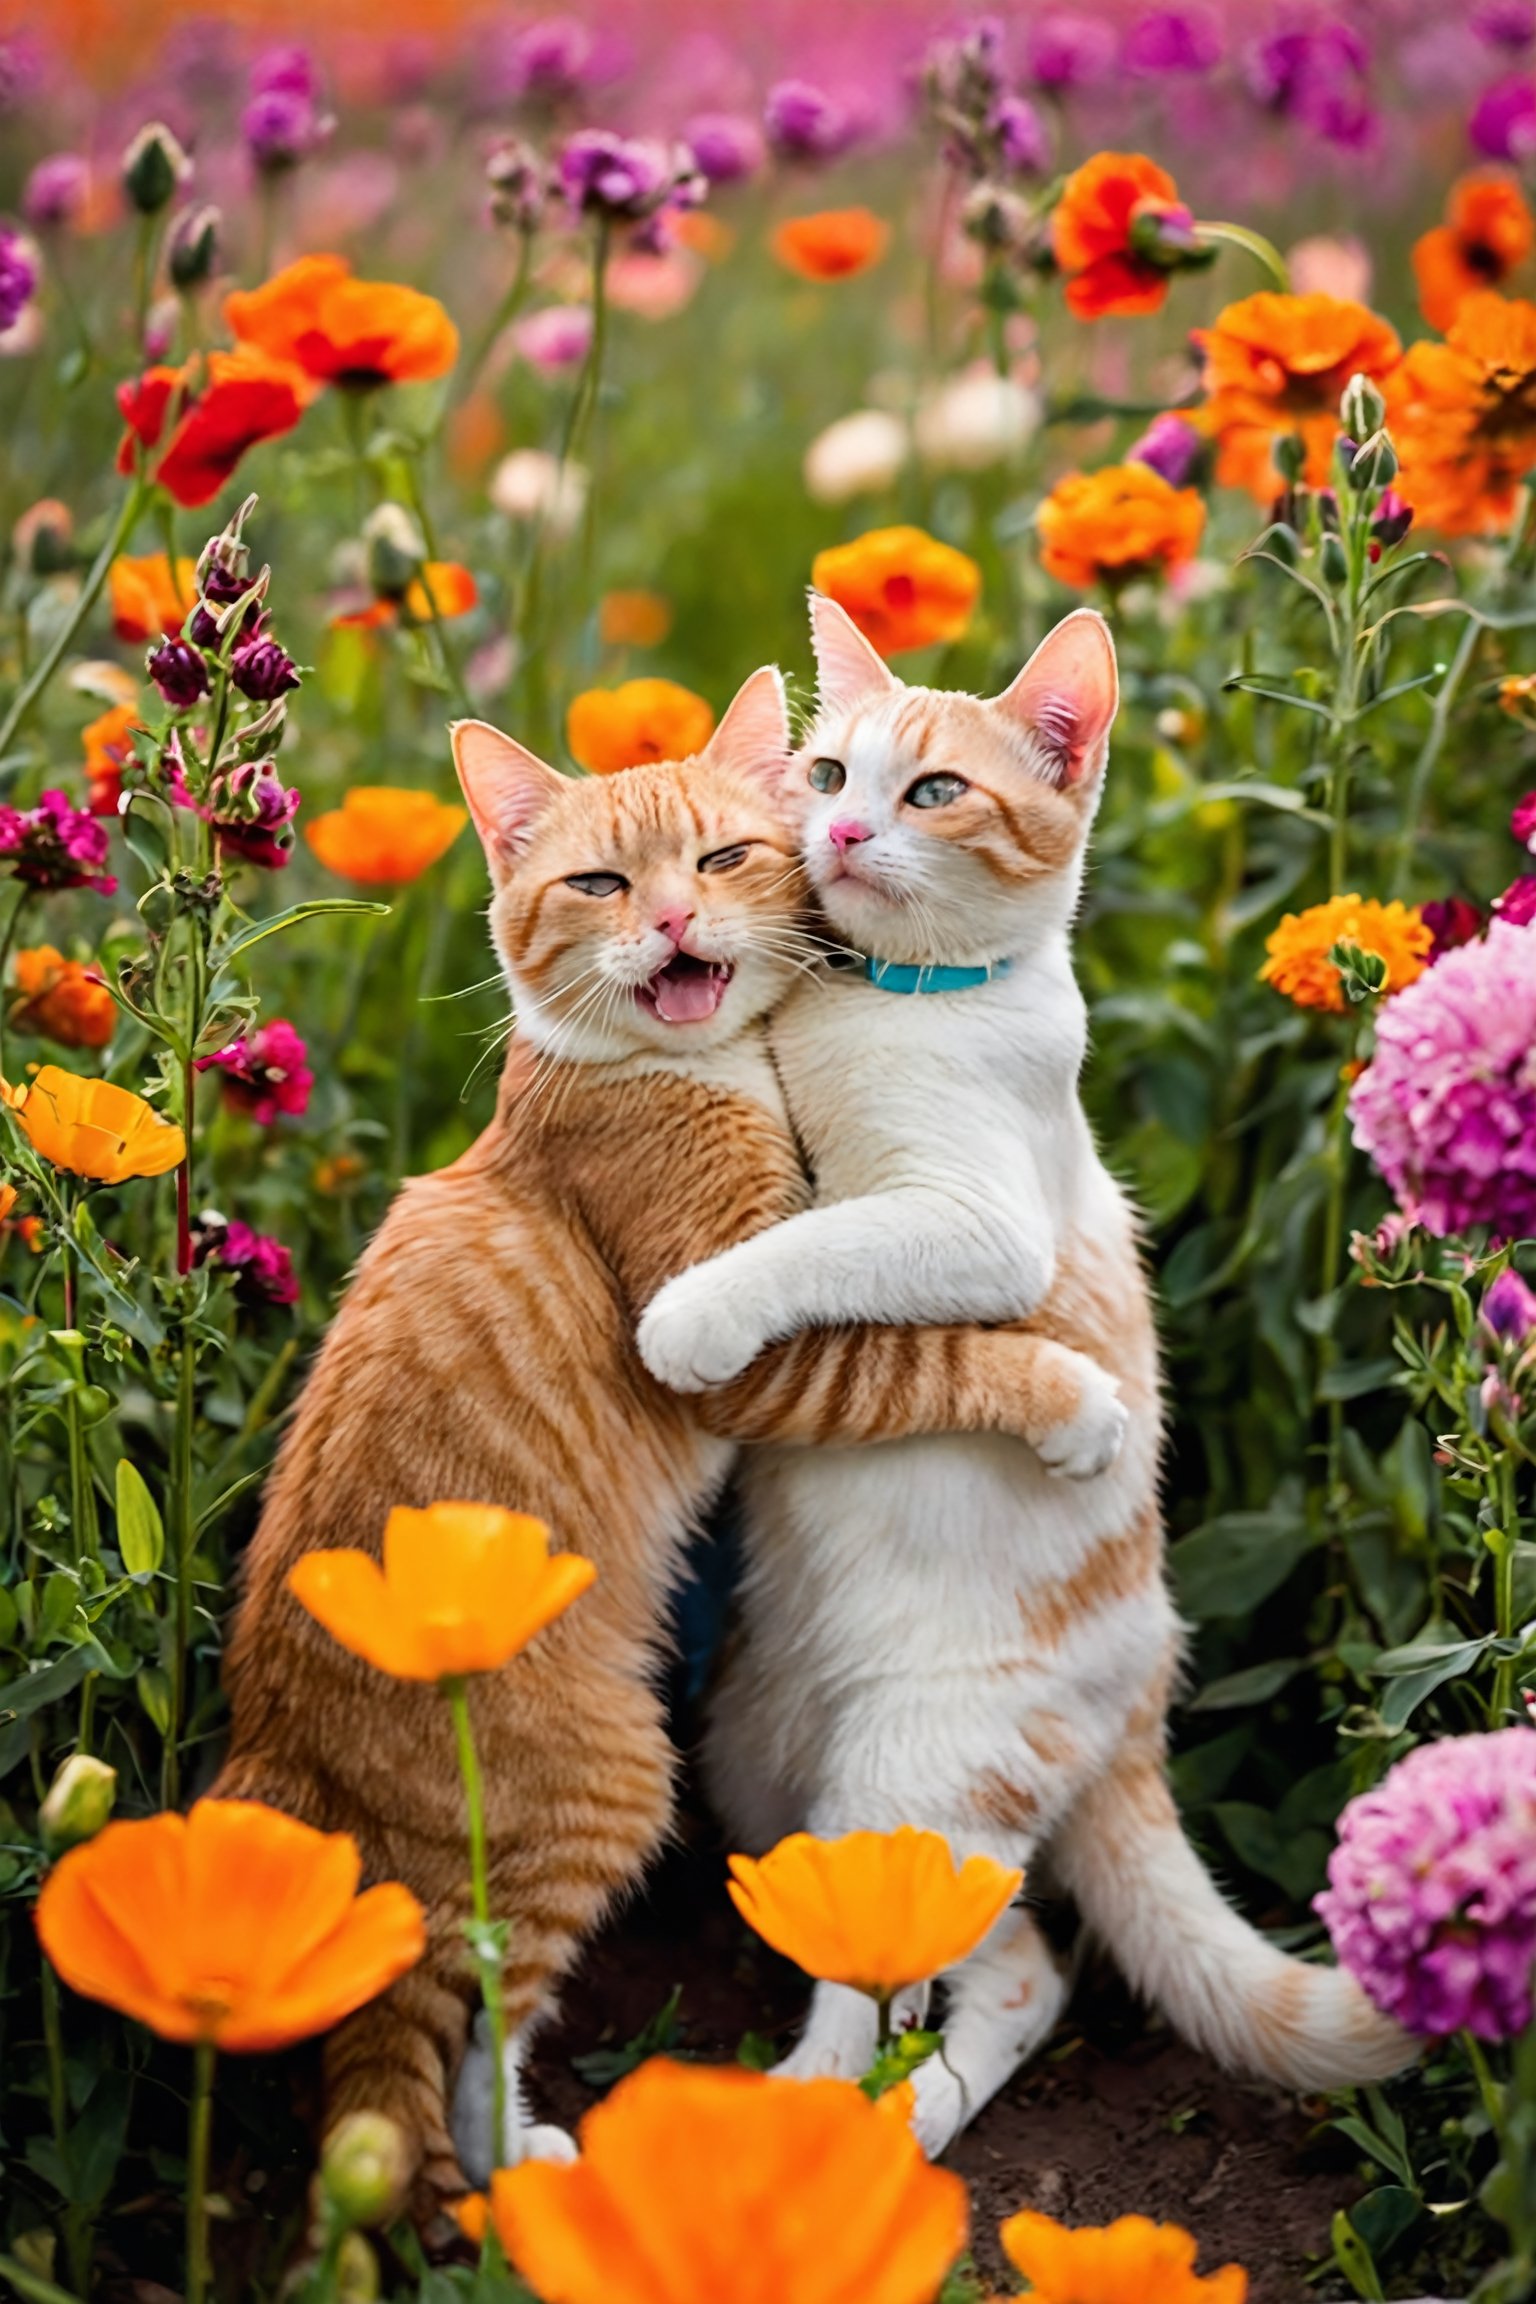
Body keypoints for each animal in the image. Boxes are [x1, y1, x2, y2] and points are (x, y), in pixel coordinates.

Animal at [216, 663, 1123, 2193]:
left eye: (723, 858)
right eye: (599, 881)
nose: (677, 921)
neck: (672, 1069)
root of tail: (288, 1746)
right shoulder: (747, 1362)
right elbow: (929, 1357)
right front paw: (1075, 1406)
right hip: (608, 1785)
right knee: (475, 2035)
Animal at [640, 603, 1418, 2147]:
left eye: (935, 792)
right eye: (828, 772)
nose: (843, 834)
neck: (881, 1003)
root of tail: (1145, 1702)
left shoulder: (969, 1227)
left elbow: (817, 1237)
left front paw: (695, 1316)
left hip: (915, 1764)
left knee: (965, 1983)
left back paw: (846, 2127)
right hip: (776, 1776)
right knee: (1011, 1963)